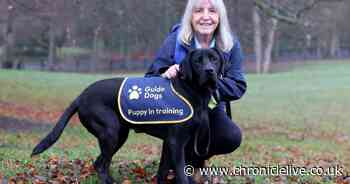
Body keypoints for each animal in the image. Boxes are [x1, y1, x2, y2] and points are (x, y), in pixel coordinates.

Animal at [32, 47, 224, 184]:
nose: (209, 71)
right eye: (198, 61)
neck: (191, 91)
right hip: (111, 132)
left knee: (100, 163)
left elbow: (162, 171)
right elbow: (181, 173)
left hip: (119, 135)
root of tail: (81, 96)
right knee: (101, 165)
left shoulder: (170, 142)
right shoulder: (176, 141)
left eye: (214, 59)